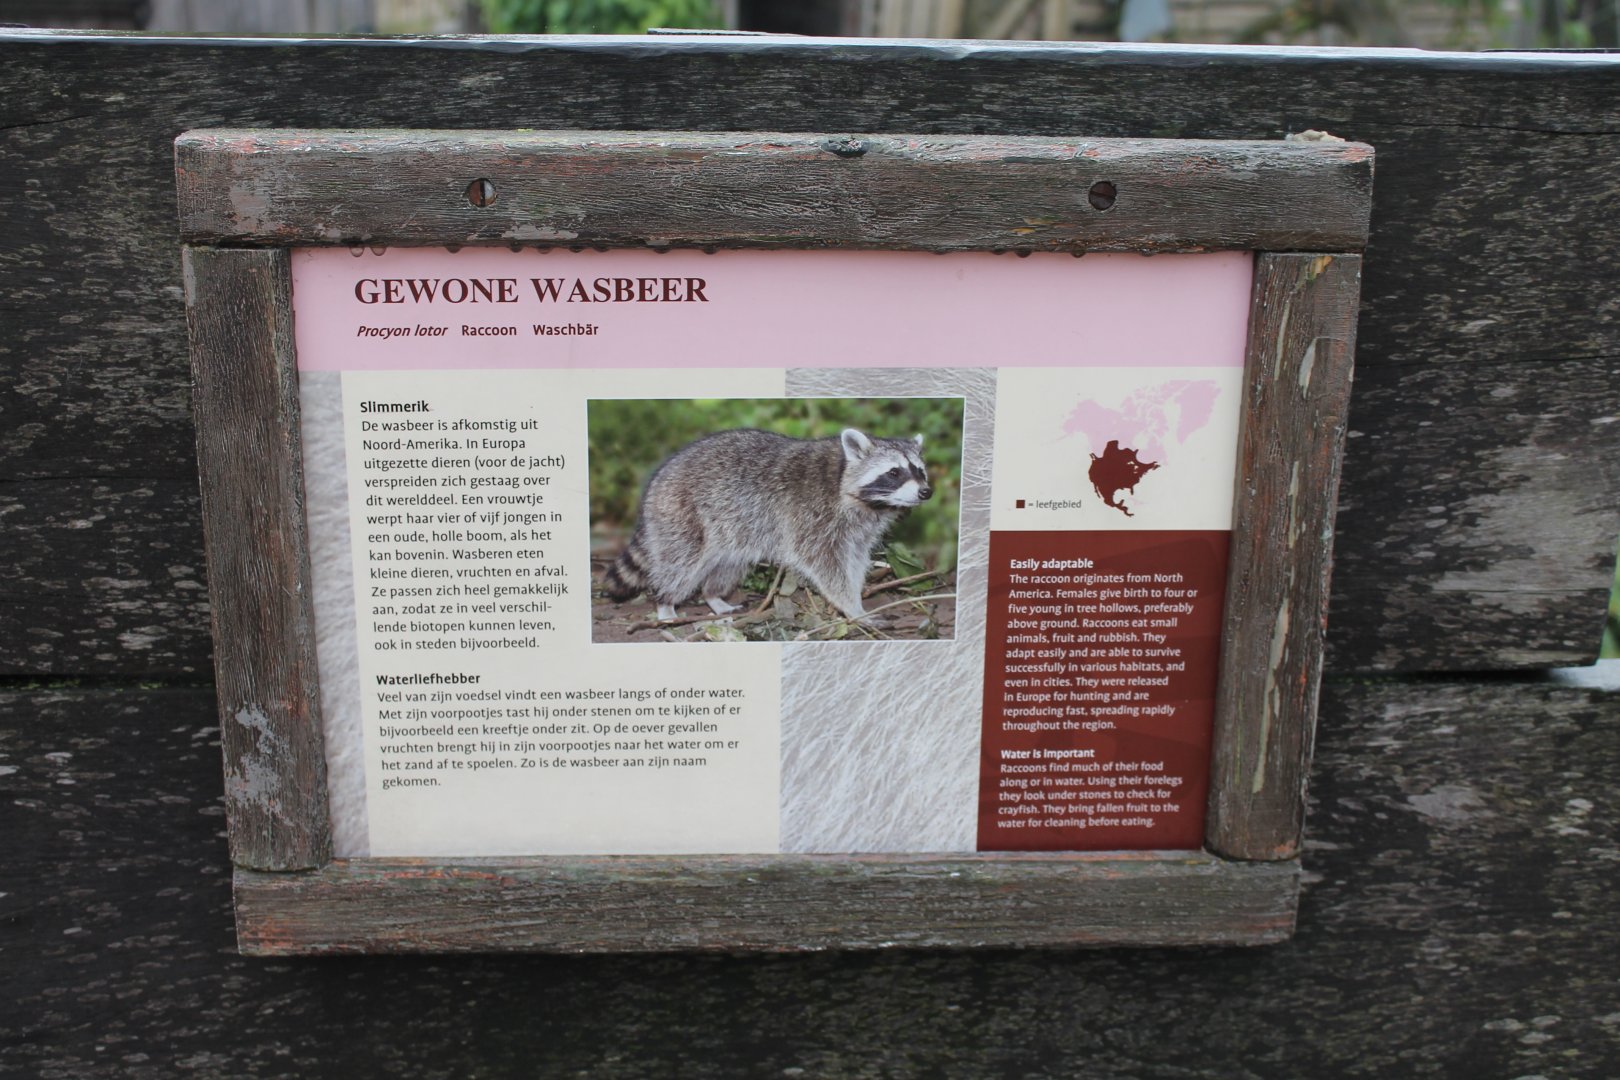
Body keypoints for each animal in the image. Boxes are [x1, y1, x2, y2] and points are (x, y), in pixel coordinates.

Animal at [602, 427, 933, 622]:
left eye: (919, 470)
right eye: (894, 472)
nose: (926, 492)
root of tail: (658, 480)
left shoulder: (859, 529)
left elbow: (855, 560)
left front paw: (857, 599)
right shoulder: (812, 515)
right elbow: (824, 563)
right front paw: (850, 606)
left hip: (733, 529)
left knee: (727, 566)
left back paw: (713, 596)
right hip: (682, 514)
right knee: (681, 563)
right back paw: (666, 603)